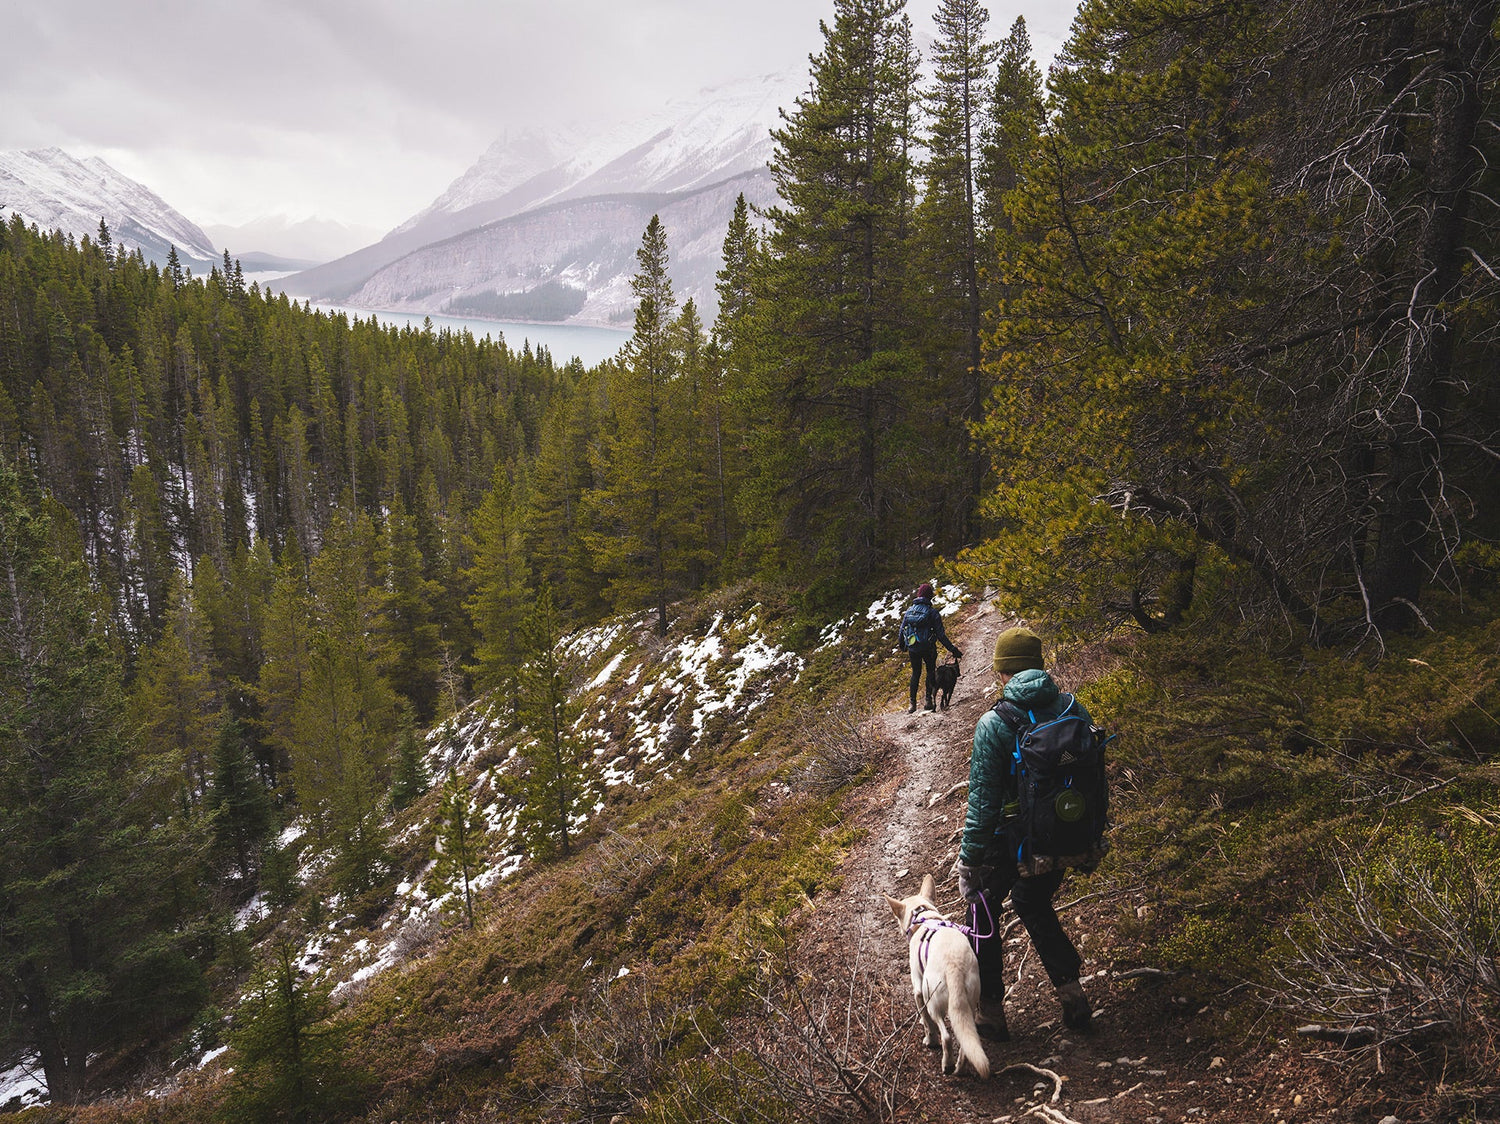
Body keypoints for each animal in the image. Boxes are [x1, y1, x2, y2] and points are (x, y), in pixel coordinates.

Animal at [882, 870, 990, 1080]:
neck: (923, 916)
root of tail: (954, 968)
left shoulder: (918, 990)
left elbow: (926, 1022)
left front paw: (929, 1040)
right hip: (970, 1004)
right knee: (966, 1044)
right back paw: (959, 1068)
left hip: (932, 999)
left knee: (946, 1036)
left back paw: (947, 1064)